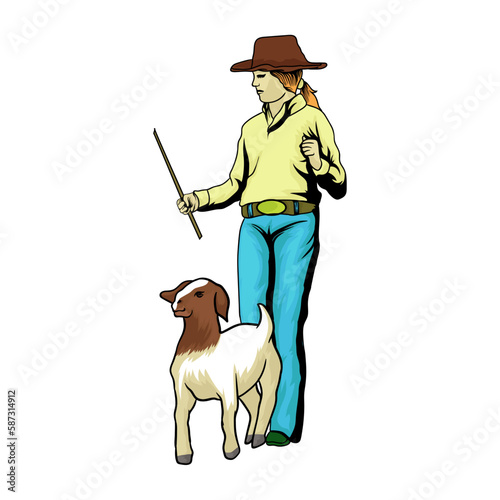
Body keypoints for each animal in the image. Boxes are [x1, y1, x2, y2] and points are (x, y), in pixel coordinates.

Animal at [160, 280, 282, 462]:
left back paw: (258, 437)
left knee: (268, 399)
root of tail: (260, 328)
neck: (200, 351)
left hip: (270, 372)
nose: (177, 303)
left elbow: (226, 419)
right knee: (255, 402)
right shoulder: (182, 390)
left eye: (200, 294)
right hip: (245, 383)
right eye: (181, 289)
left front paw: (231, 451)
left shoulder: (227, 390)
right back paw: (249, 436)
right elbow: (180, 416)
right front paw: (183, 455)